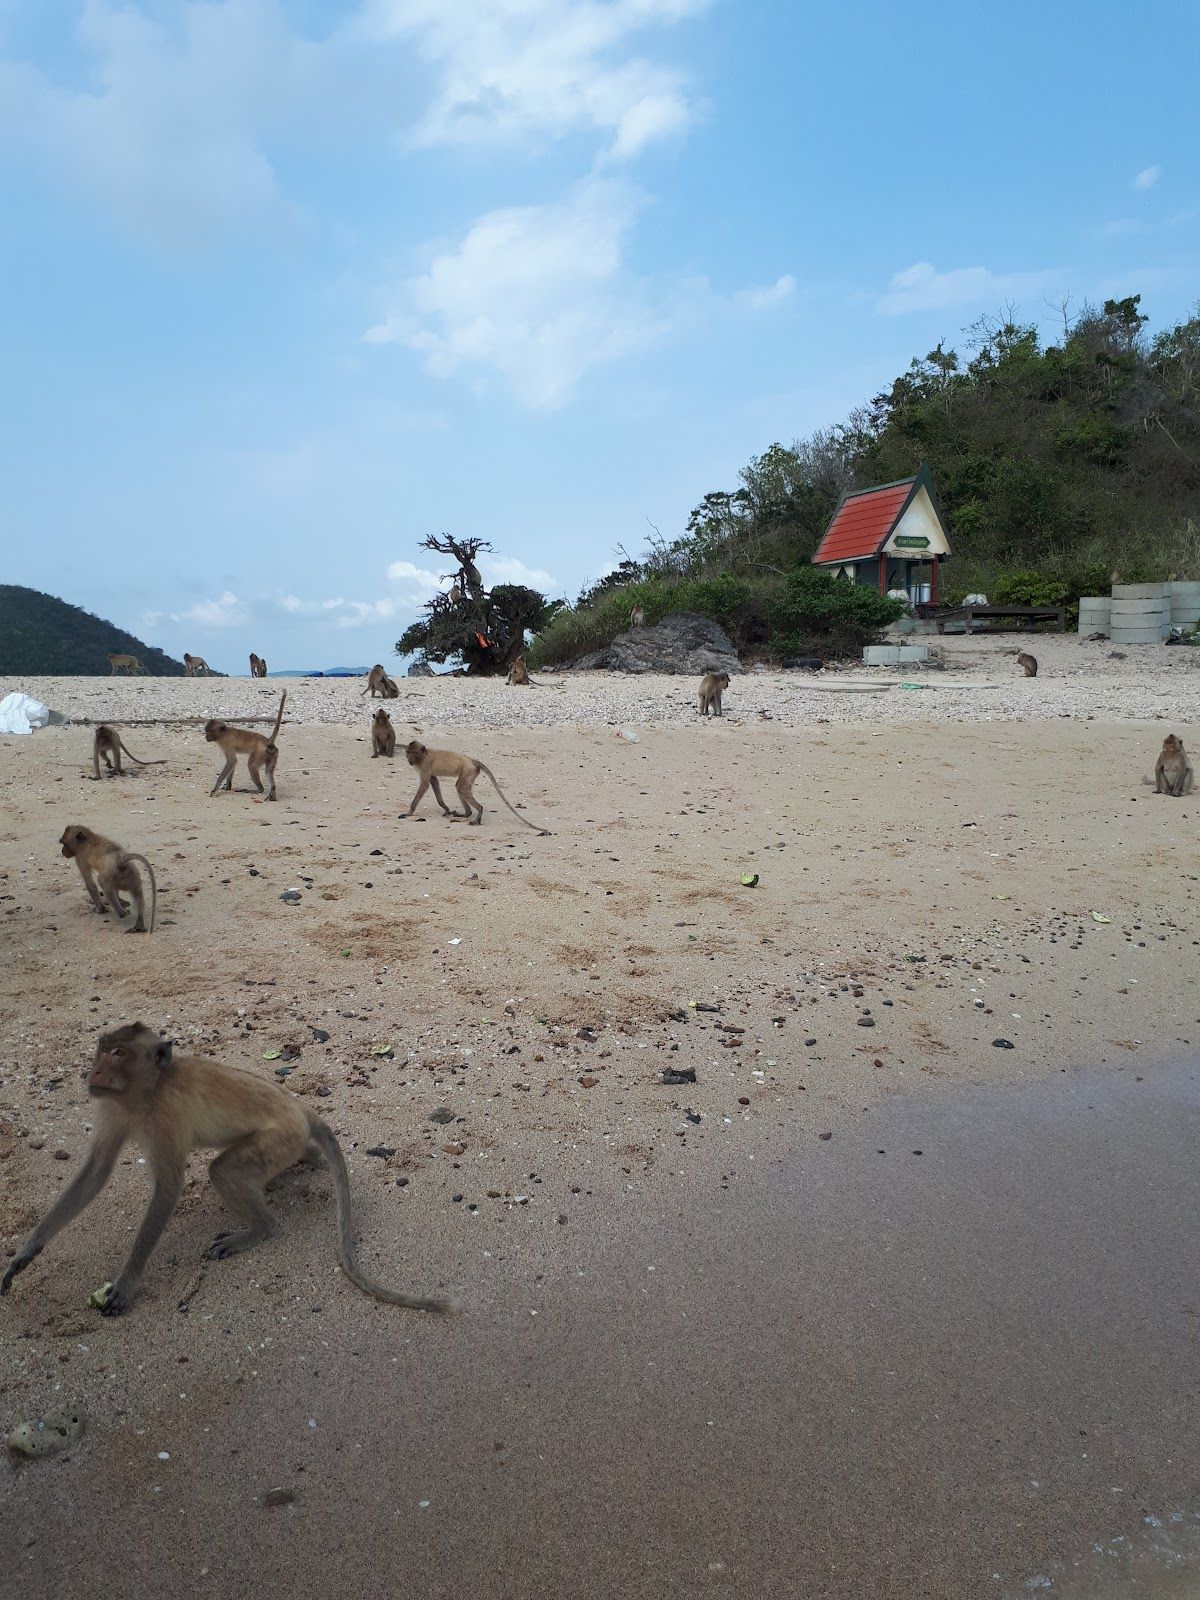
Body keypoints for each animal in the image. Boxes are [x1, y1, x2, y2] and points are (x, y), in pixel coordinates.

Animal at [0, 1024, 451, 1318]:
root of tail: (301, 1108)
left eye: (119, 1054)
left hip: (278, 1138)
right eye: (103, 1048)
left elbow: (169, 1187)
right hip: (286, 1142)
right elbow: (95, 1173)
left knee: (224, 1172)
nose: (93, 1072)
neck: (147, 1092)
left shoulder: (165, 1118)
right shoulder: (112, 1108)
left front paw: (127, 1283)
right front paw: (26, 1254)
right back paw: (308, 1158)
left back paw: (260, 1228)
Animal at [403, 741, 552, 833]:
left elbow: (425, 785)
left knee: (462, 788)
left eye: (414, 753)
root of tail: (473, 760)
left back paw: (478, 813)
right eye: (408, 752)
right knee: (460, 788)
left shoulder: (425, 765)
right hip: (470, 771)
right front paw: (445, 808)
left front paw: (409, 812)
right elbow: (434, 781)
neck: (423, 756)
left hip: (468, 770)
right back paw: (467, 813)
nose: (409, 759)